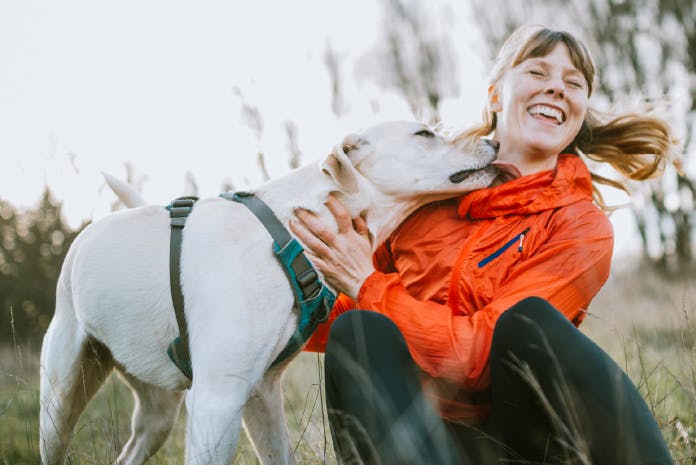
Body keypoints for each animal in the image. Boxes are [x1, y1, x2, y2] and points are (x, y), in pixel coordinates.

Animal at [39, 120, 494, 464]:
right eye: (424, 133)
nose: (493, 140)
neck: (285, 233)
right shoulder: (217, 399)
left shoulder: (262, 394)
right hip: (60, 399)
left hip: (157, 412)